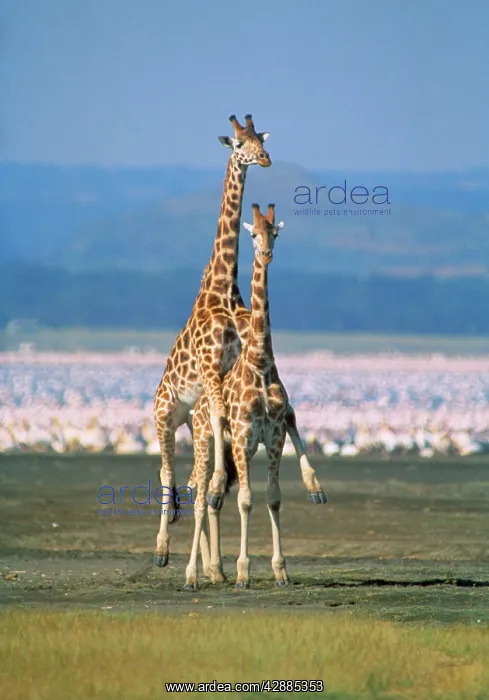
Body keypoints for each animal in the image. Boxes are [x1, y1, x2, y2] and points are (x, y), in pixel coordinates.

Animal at [185, 204, 293, 590]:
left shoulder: (275, 436)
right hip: (204, 442)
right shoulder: (246, 437)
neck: (260, 363)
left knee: (210, 498)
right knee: (199, 495)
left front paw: (281, 570)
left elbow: (273, 498)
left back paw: (213, 570)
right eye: (253, 233)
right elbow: (246, 501)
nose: (265, 253)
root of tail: (199, 407)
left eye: (275, 232)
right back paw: (192, 575)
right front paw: (244, 572)